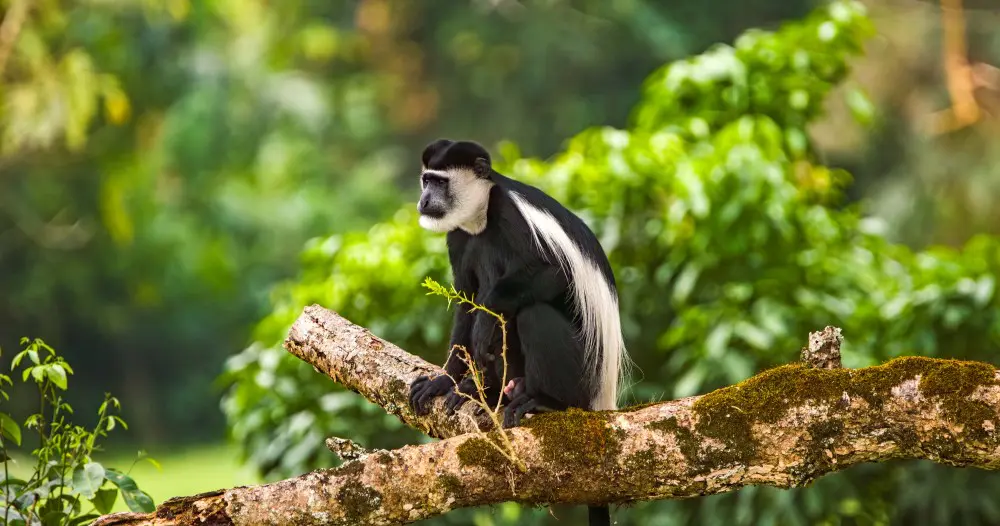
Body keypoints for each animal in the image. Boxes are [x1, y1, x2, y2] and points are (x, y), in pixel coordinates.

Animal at [407, 139, 630, 526]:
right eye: (426, 180)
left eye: (440, 182)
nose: (424, 200)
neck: (481, 216)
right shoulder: (458, 237)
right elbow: (465, 302)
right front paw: (444, 381)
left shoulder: (512, 216)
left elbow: (553, 274)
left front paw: (486, 322)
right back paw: (487, 389)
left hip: (583, 375)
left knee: (532, 314)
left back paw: (542, 401)